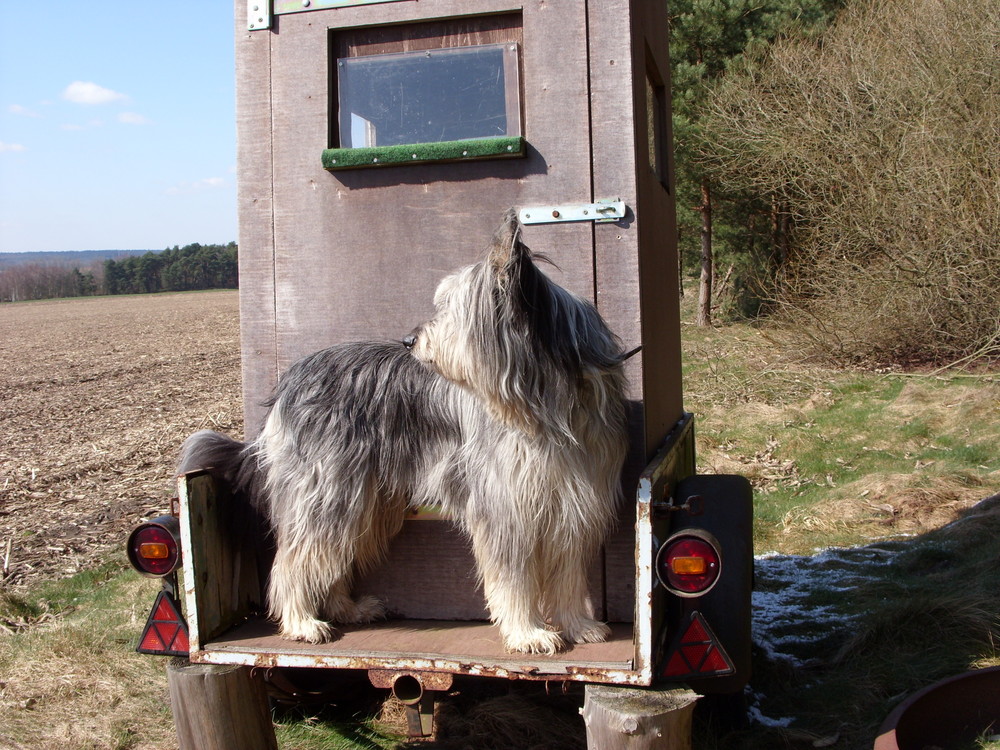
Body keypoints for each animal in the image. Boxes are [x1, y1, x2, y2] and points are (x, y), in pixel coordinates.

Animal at [180, 210, 628, 652]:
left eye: (451, 308)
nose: (410, 340)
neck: (547, 399)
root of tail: (289, 382)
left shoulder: (574, 499)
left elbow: (569, 573)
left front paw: (576, 624)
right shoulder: (504, 504)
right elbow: (513, 578)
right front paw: (527, 632)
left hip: (361, 499)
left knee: (332, 556)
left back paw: (347, 609)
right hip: (327, 490)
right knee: (296, 560)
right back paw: (302, 621)